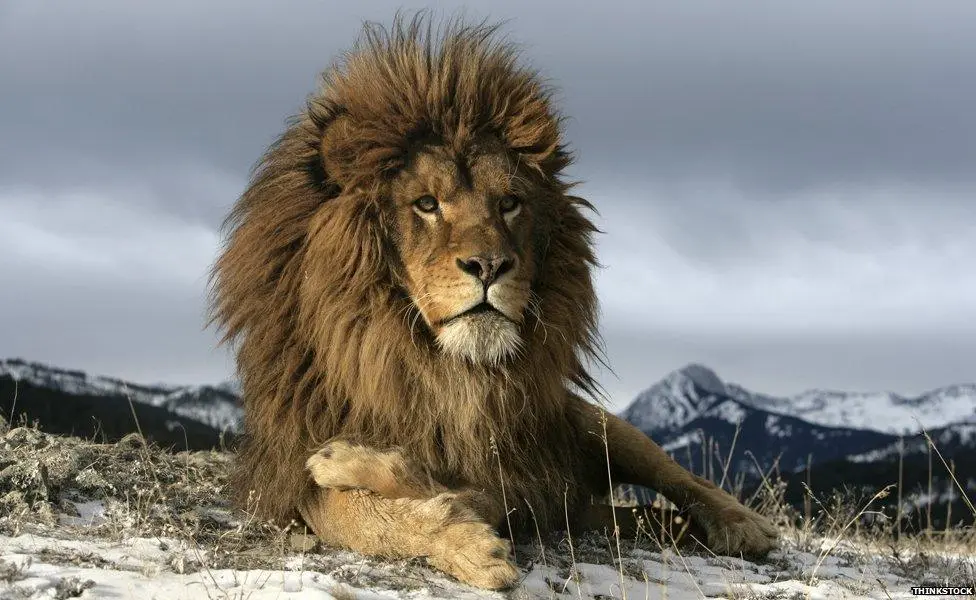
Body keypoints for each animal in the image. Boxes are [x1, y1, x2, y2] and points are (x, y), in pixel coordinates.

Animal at [209, 15, 779, 590]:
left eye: (509, 203)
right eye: (426, 203)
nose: (489, 266)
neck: (439, 370)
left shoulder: (521, 479)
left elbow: (444, 486)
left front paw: (358, 467)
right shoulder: (290, 474)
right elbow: (359, 514)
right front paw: (459, 539)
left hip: (595, 426)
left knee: (683, 479)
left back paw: (744, 525)